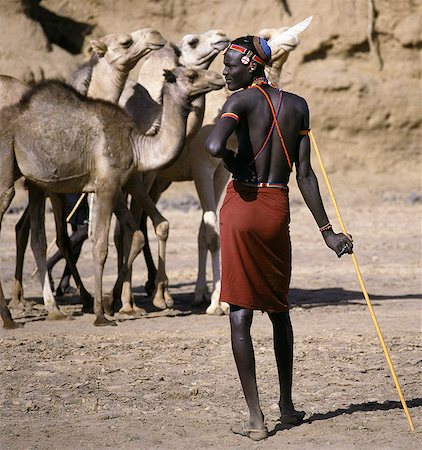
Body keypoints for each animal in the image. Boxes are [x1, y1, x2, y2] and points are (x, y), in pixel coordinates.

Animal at [0, 67, 224, 328]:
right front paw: (101, 314)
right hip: (10, 171)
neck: (137, 145)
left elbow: (135, 235)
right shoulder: (106, 185)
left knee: (38, 238)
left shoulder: (117, 185)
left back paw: (50, 310)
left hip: (36, 183)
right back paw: (11, 318)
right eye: (191, 76)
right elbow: (100, 246)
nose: (219, 78)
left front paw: (112, 302)